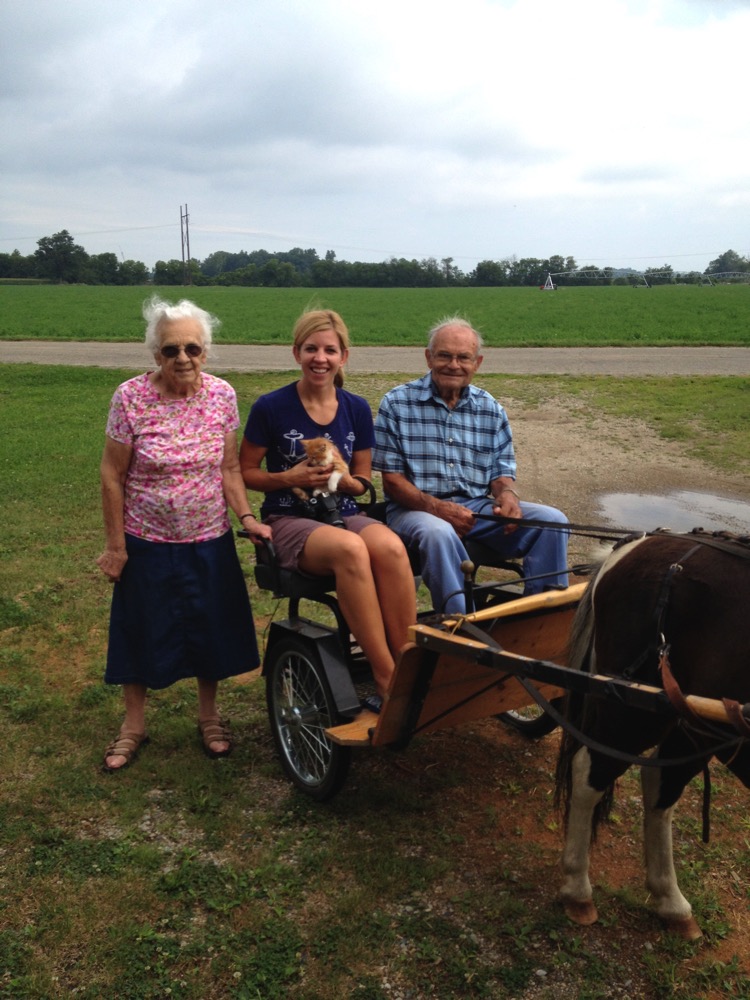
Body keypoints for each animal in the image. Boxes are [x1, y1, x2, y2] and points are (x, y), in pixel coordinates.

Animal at [554, 529, 750, 940]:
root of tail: (636, 544)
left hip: (691, 723)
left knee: (660, 784)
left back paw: (671, 903)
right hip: (636, 713)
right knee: (592, 773)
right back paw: (578, 887)